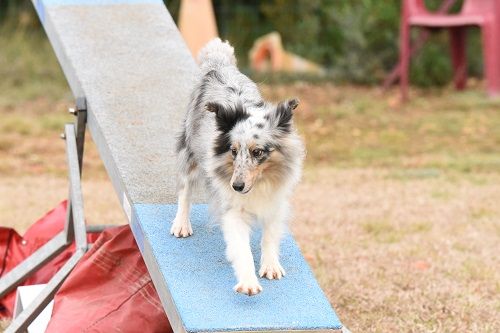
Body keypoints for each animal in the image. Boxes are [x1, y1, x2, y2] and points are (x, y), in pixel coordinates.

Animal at [171, 37, 304, 294]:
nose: (237, 186)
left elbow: (270, 236)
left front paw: (271, 267)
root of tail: (219, 64)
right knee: (184, 189)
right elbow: (241, 249)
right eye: (233, 151)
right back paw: (181, 225)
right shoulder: (233, 210)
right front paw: (248, 283)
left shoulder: (276, 202)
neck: (260, 183)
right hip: (189, 151)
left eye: (257, 152)